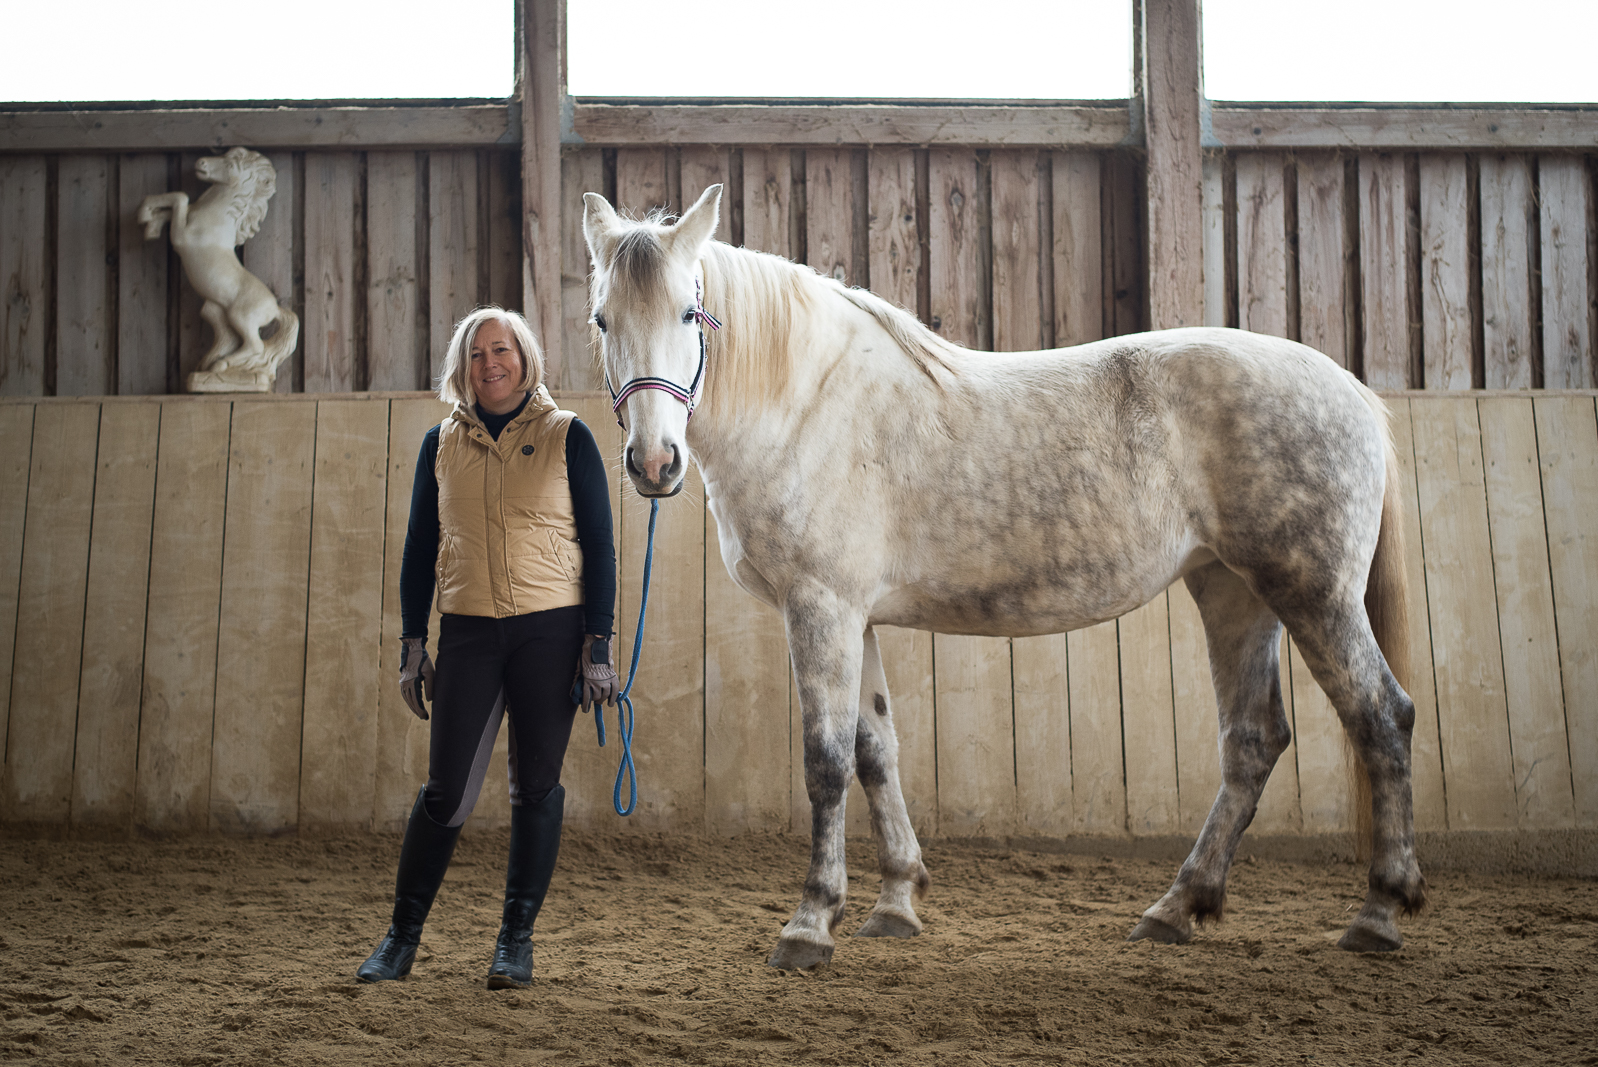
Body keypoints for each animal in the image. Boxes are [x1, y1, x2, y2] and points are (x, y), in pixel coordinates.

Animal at [584, 187, 1425, 971]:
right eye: (601, 320)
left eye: (689, 313)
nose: (653, 463)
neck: (806, 401)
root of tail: (1351, 389)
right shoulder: (857, 615)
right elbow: (875, 749)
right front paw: (896, 902)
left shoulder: (821, 607)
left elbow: (825, 761)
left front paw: (810, 922)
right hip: (1233, 591)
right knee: (1253, 739)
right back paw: (1177, 906)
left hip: (1313, 594)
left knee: (1381, 717)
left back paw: (1378, 911)